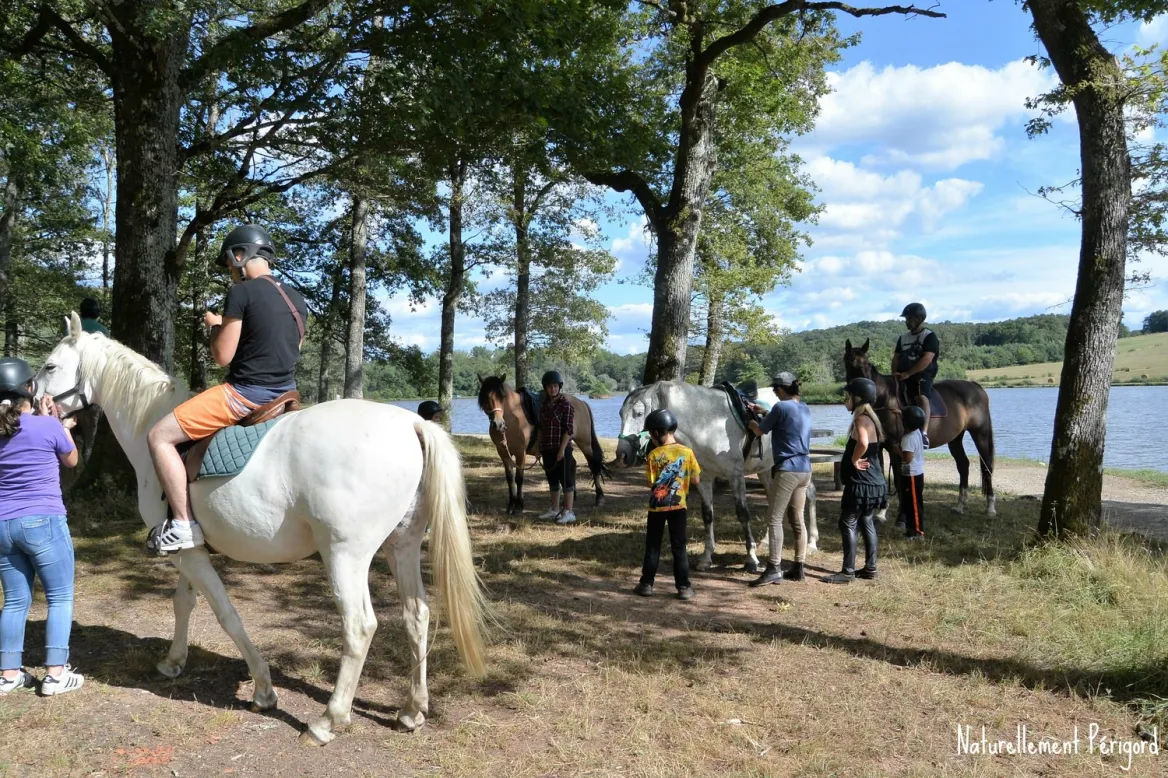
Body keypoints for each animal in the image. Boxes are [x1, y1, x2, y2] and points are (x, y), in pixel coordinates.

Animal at [37, 314, 488, 746]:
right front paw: (174, 661)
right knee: (417, 615)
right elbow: (184, 603)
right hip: (402, 547)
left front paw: (263, 689)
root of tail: (411, 424)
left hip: (345, 556)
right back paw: (412, 710)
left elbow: (226, 615)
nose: (31, 406)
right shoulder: (188, 551)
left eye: (50, 365)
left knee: (359, 627)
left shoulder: (191, 555)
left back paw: (327, 721)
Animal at [475, 374, 609, 514]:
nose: (498, 424)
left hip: (585, 443)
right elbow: (510, 478)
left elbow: (519, 478)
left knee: (593, 465)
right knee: (572, 464)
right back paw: (571, 496)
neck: (513, 417)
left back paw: (599, 498)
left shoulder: (520, 453)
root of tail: (581, 403)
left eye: (502, 396)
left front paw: (519, 506)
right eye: (485, 397)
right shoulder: (503, 453)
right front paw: (511, 505)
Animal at [614, 381, 819, 573]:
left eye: (639, 414)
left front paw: (751, 559)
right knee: (773, 500)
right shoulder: (705, 478)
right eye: (620, 414)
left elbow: (743, 514)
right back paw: (768, 542)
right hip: (766, 469)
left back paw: (811, 542)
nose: (622, 455)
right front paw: (706, 558)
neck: (708, 424)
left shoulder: (735, 475)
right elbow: (707, 515)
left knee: (810, 493)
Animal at [843, 338, 996, 515]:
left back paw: (990, 508)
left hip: (980, 433)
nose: (869, 394)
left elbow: (898, 479)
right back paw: (960, 505)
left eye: (868, 363)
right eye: (850, 362)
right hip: (956, 438)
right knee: (963, 465)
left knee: (987, 467)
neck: (885, 398)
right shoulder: (879, 446)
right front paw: (880, 511)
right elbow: (880, 475)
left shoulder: (895, 447)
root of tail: (976, 387)